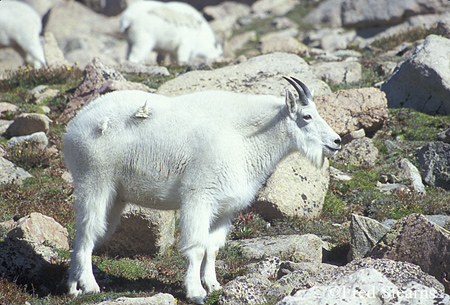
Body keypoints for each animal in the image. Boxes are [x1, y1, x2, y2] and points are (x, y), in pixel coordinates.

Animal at [64, 76, 342, 302]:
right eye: (307, 116)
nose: (337, 141)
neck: (246, 139)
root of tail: (73, 127)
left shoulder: (224, 208)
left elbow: (213, 246)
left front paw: (214, 285)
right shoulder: (199, 197)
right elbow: (197, 246)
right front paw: (195, 291)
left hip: (116, 196)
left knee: (85, 235)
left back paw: (72, 286)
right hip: (94, 180)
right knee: (88, 232)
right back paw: (90, 285)